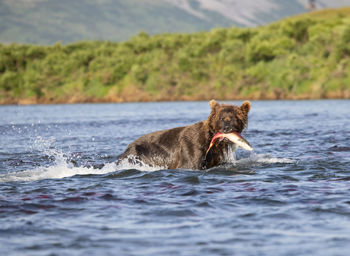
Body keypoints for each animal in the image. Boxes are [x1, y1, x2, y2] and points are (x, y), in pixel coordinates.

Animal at [119, 100, 250, 170]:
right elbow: (190, 164)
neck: (212, 142)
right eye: (222, 118)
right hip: (139, 154)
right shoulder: (192, 147)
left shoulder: (216, 156)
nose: (227, 128)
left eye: (234, 119)